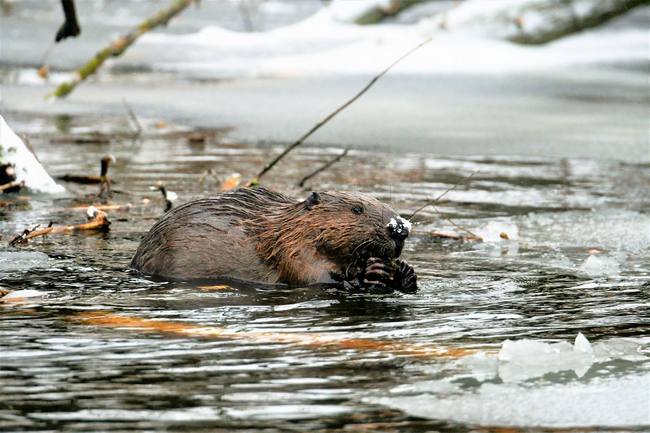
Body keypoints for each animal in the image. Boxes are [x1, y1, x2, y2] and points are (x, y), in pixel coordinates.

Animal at [131, 186, 416, 292]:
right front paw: (369, 272)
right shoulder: (293, 251)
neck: (285, 228)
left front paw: (405, 272)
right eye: (357, 209)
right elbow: (314, 277)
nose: (400, 229)